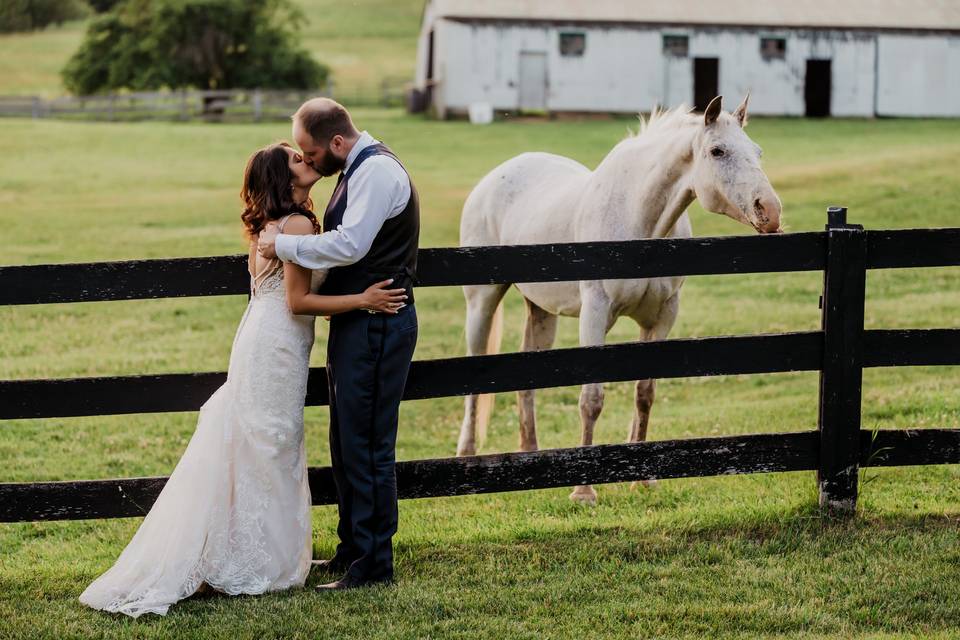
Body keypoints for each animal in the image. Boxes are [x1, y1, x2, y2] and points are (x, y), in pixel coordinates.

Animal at [456, 96, 780, 504]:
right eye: (717, 151)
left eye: (758, 151)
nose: (770, 211)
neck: (638, 221)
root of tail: (496, 176)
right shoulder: (595, 314)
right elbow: (592, 399)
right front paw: (583, 491)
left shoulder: (662, 318)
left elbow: (645, 393)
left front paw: (643, 479)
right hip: (481, 302)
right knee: (474, 373)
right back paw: (467, 457)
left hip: (542, 311)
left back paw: (531, 456)